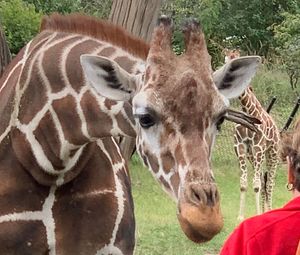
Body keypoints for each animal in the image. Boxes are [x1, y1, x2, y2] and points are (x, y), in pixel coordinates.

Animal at [225, 49, 282, 219]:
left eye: (237, 60)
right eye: (225, 60)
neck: (248, 110)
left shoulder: (258, 147)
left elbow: (256, 185)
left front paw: (257, 214)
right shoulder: (240, 146)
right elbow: (244, 183)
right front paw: (240, 217)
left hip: (272, 153)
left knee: (270, 182)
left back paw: (269, 210)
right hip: (254, 155)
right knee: (263, 181)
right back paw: (264, 211)